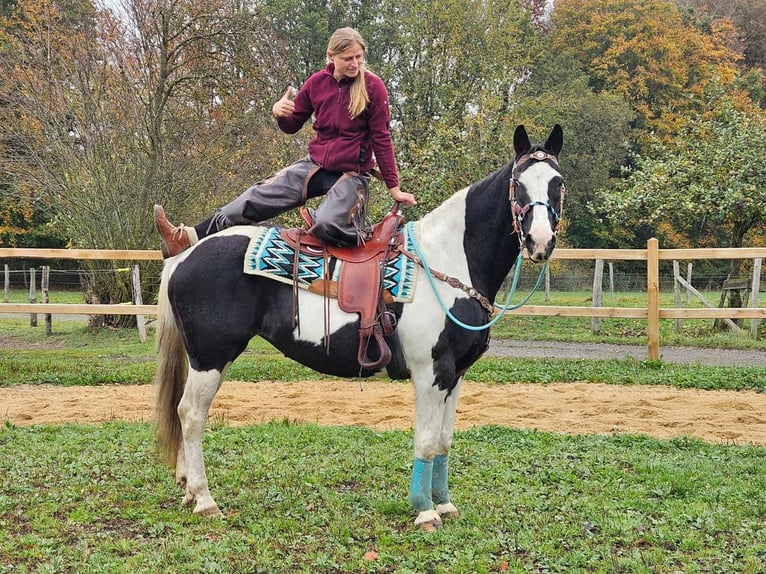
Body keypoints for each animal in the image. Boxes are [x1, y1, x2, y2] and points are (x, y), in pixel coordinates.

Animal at [156, 124, 564, 532]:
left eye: (557, 183)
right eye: (519, 184)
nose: (540, 242)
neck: (448, 260)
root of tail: (185, 254)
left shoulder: (456, 375)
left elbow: (444, 440)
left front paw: (445, 504)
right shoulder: (430, 373)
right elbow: (425, 440)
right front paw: (425, 511)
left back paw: (188, 489)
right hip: (210, 357)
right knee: (191, 414)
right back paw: (204, 499)